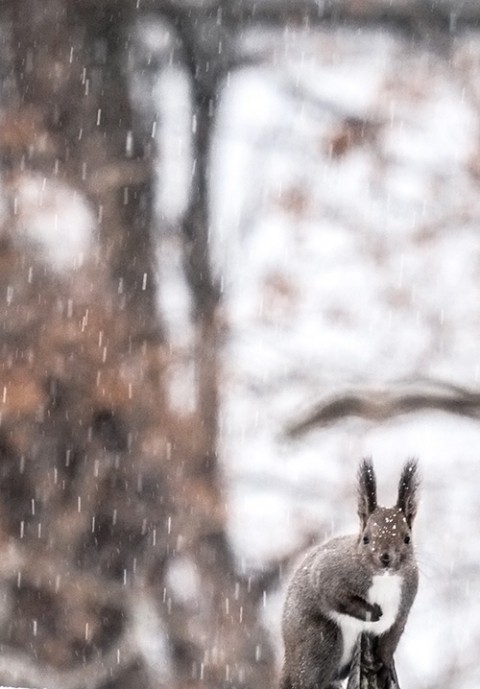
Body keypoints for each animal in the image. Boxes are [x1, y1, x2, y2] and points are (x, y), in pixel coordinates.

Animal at [280, 456, 418, 688]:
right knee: (311, 677)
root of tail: (289, 663)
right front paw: (371, 612)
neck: (384, 578)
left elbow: (388, 645)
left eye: (407, 538)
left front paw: (385, 666)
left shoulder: (403, 608)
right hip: (322, 639)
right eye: (366, 539)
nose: (386, 558)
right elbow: (336, 598)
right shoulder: (328, 572)